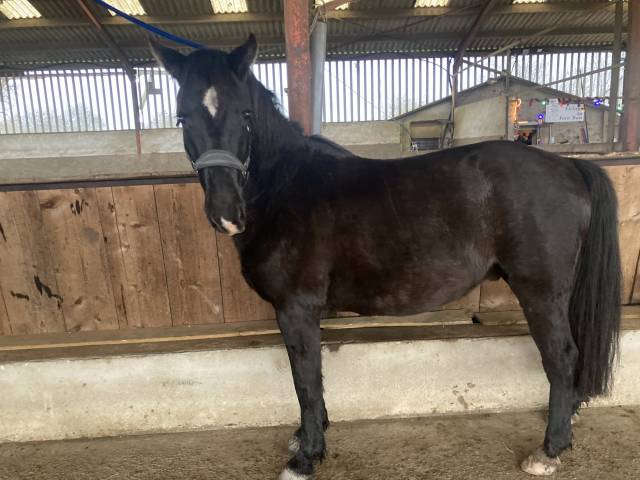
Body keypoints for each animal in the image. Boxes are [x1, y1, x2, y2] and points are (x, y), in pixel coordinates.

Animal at [150, 35, 621, 479]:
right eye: (182, 117)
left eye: (245, 115)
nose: (226, 213)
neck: (286, 188)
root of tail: (568, 166)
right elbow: (309, 376)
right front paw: (307, 437)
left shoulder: (296, 308)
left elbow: (305, 378)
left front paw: (305, 458)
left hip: (539, 291)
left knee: (562, 357)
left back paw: (549, 451)